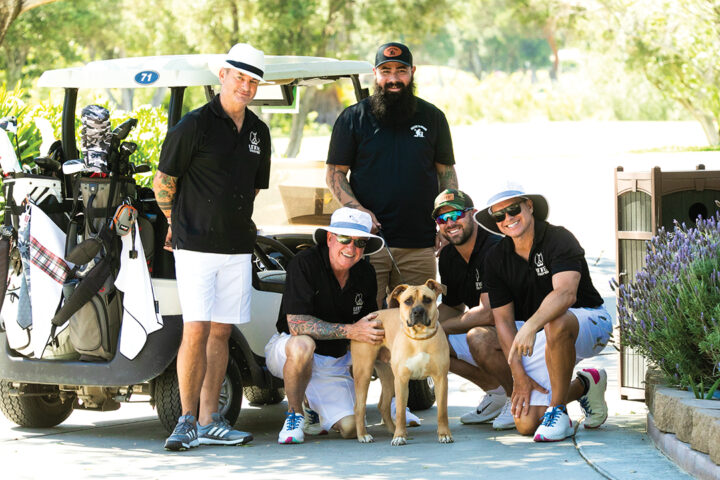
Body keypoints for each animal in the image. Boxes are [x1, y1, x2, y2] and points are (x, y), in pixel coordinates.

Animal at [352, 280, 452, 444]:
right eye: (408, 301)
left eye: (427, 300)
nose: (418, 311)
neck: (419, 338)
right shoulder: (401, 380)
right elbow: (400, 411)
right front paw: (399, 437)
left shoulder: (440, 378)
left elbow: (442, 411)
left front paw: (444, 434)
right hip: (364, 373)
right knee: (359, 407)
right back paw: (363, 435)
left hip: (388, 376)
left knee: (383, 405)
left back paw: (392, 430)